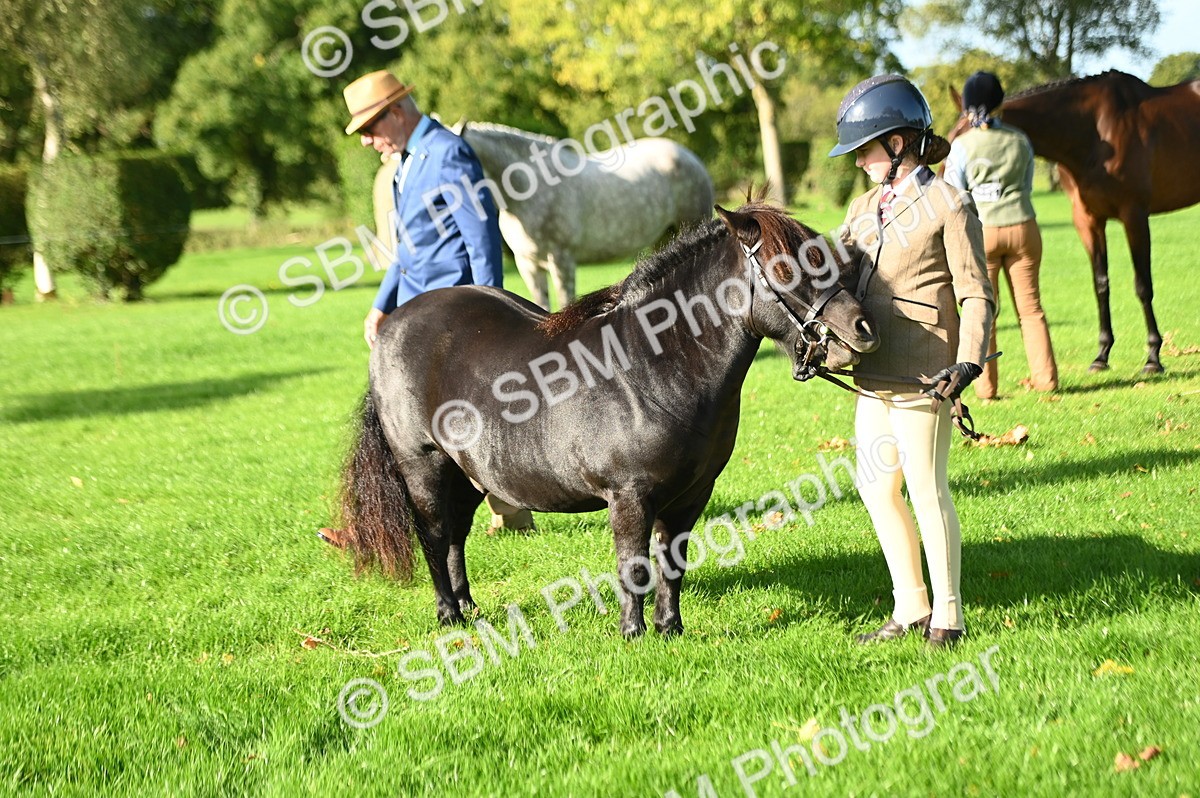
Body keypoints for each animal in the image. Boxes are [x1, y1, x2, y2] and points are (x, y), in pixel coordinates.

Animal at [336, 202, 878, 638]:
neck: (653, 366)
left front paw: (670, 628)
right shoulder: (630, 495)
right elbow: (633, 567)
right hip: (423, 465)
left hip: (467, 473)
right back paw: (449, 616)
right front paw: (632, 633)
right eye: (785, 268)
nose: (862, 328)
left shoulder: (691, 494)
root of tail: (390, 326)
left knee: (455, 536)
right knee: (432, 536)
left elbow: (672, 563)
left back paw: (469, 607)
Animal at [947, 70, 1200, 374]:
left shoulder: (1134, 216)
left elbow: (1143, 285)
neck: (1094, 133)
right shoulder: (1088, 221)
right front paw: (1102, 354)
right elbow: (1101, 284)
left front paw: (1153, 357)